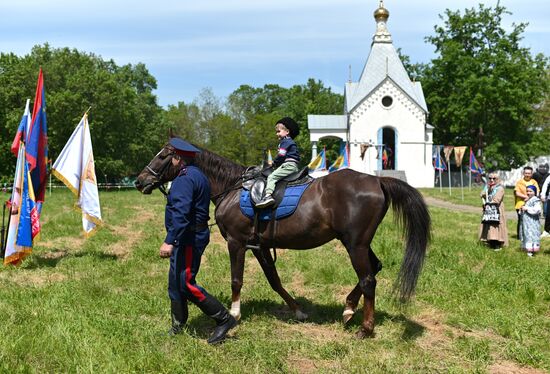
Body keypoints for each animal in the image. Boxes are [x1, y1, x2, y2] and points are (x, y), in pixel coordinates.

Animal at [136, 142, 434, 338]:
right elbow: (274, 279)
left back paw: (365, 327)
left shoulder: (236, 243)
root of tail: (377, 181)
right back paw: (349, 309)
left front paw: (234, 314)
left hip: (355, 244)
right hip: (358, 243)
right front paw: (298, 311)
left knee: (368, 279)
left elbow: (236, 280)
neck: (232, 188)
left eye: (163, 155)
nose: (139, 181)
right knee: (375, 268)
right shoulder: (261, 246)